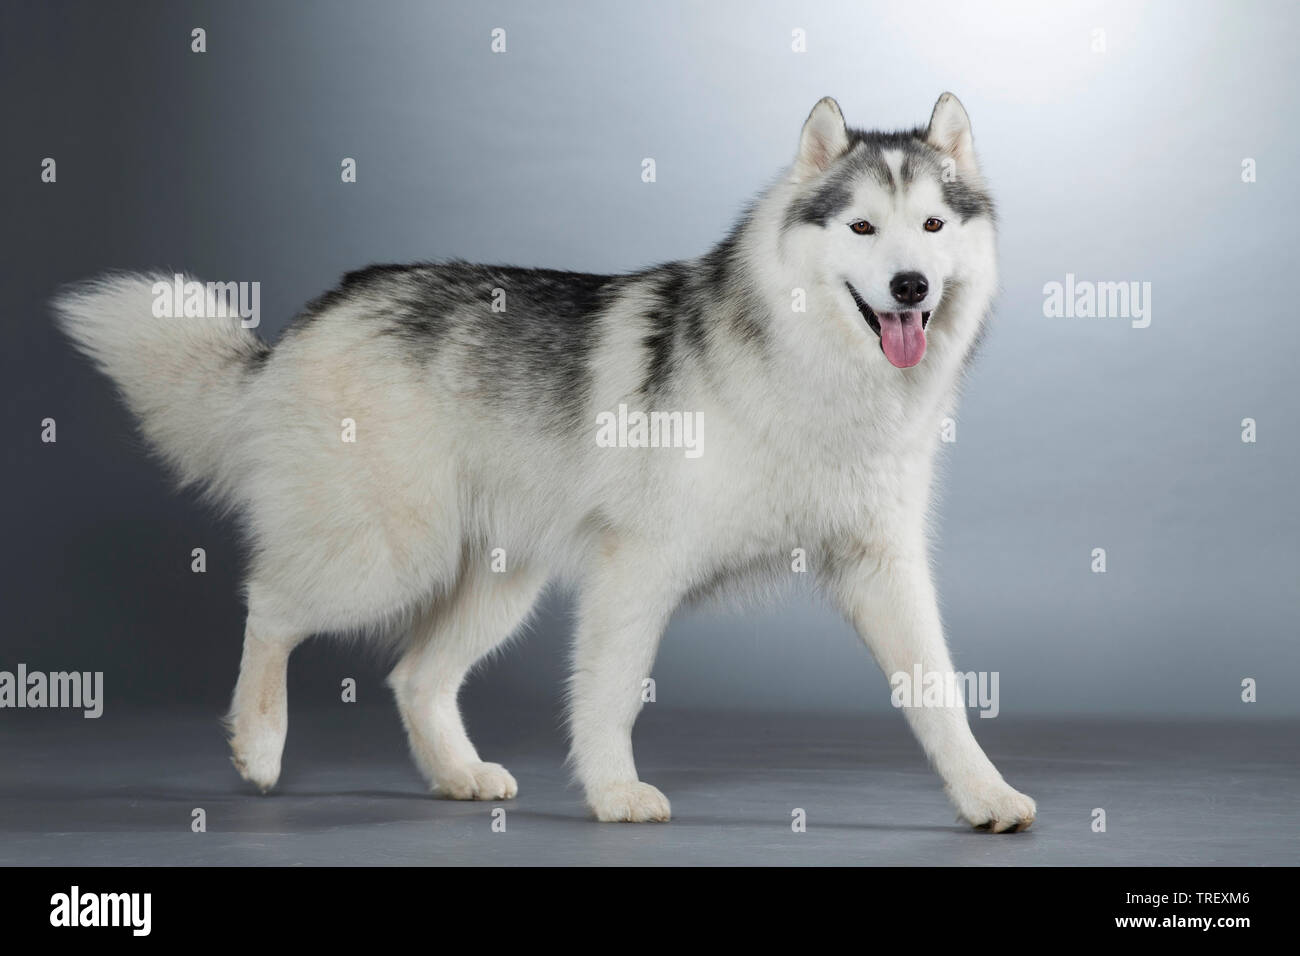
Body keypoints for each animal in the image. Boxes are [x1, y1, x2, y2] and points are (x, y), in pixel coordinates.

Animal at [55, 93, 1040, 832]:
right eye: (864, 228)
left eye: (933, 224)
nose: (910, 285)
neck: (817, 375)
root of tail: (317, 312)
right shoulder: (638, 571)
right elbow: (611, 694)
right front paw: (613, 793)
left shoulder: (885, 571)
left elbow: (939, 695)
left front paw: (984, 795)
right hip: (385, 557)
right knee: (269, 605)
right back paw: (259, 745)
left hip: (499, 582)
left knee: (415, 677)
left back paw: (458, 775)